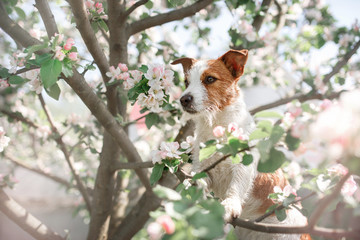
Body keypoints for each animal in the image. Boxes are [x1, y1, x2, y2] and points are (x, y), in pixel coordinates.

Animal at [172, 49, 310, 239]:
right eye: (186, 82)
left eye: (210, 79)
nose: (184, 99)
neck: (217, 126)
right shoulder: (204, 168)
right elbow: (200, 180)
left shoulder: (243, 166)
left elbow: (236, 186)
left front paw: (230, 205)